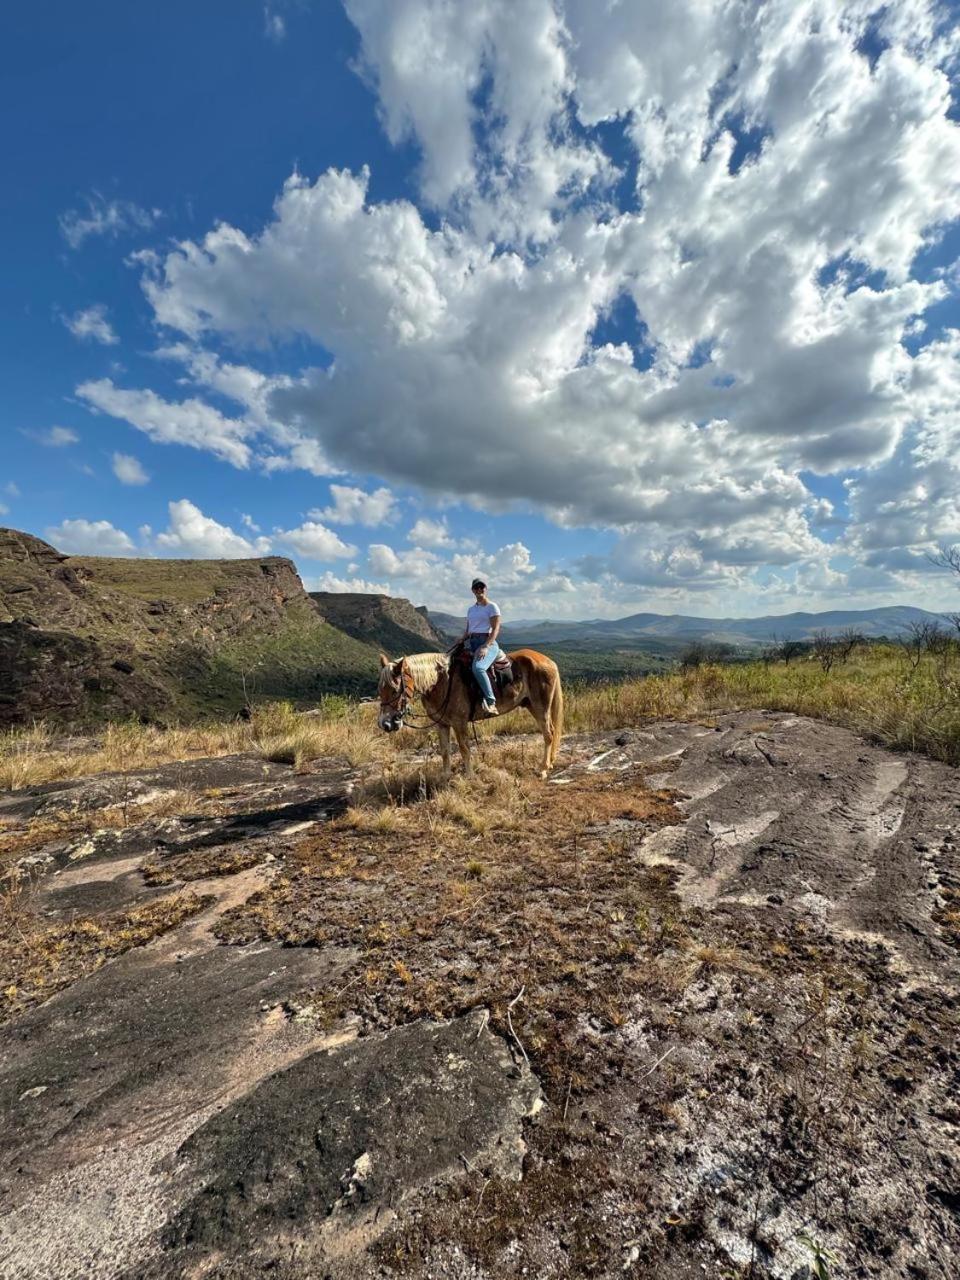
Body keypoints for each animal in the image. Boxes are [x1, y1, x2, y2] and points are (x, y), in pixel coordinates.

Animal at [376, 645, 563, 773]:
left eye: (395, 690)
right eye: (380, 690)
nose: (385, 724)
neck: (440, 682)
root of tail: (549, 661)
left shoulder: (460, 723)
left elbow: (464, 749)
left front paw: (469, 776)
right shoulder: (442, 724)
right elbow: (445, 751)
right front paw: (445, 777)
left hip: (541, 707)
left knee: (548, 734)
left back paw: (543, 769)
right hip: (531, 705)